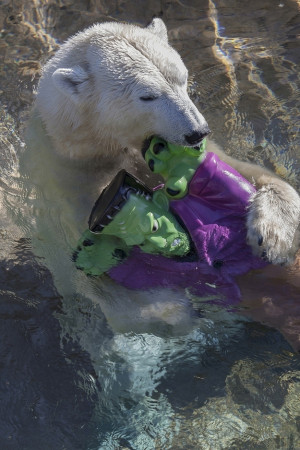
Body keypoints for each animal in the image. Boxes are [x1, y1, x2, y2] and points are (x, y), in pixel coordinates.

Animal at [33, 17, 300, 266]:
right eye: (148, 96)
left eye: (183, 78)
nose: (197, 132)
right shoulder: (76, 183)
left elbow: (247, 172)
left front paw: (273, 237)